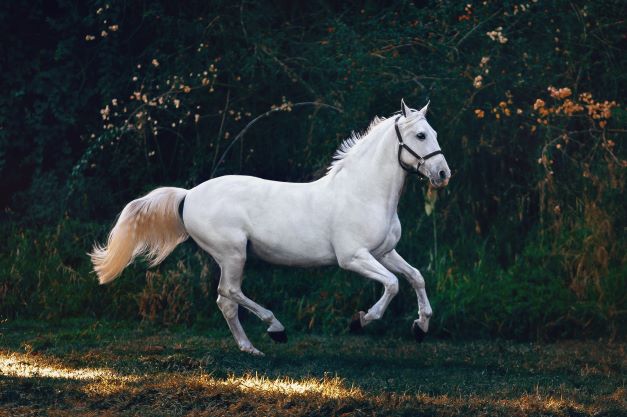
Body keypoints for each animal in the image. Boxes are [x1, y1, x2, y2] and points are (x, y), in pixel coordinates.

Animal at [91, 99, 448, 352]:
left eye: (434, 133)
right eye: (420, 135)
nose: (443, 174)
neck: (363, 192)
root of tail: (188, 195)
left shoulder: (384, 252)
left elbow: (415, 277)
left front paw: (421, 327)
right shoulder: (353, 257)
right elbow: (392, 284)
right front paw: (361, 321)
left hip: (231, 256)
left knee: (225, 301)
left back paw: (251, 348)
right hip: (233, 253)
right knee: (229, 292)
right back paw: (275, 329)